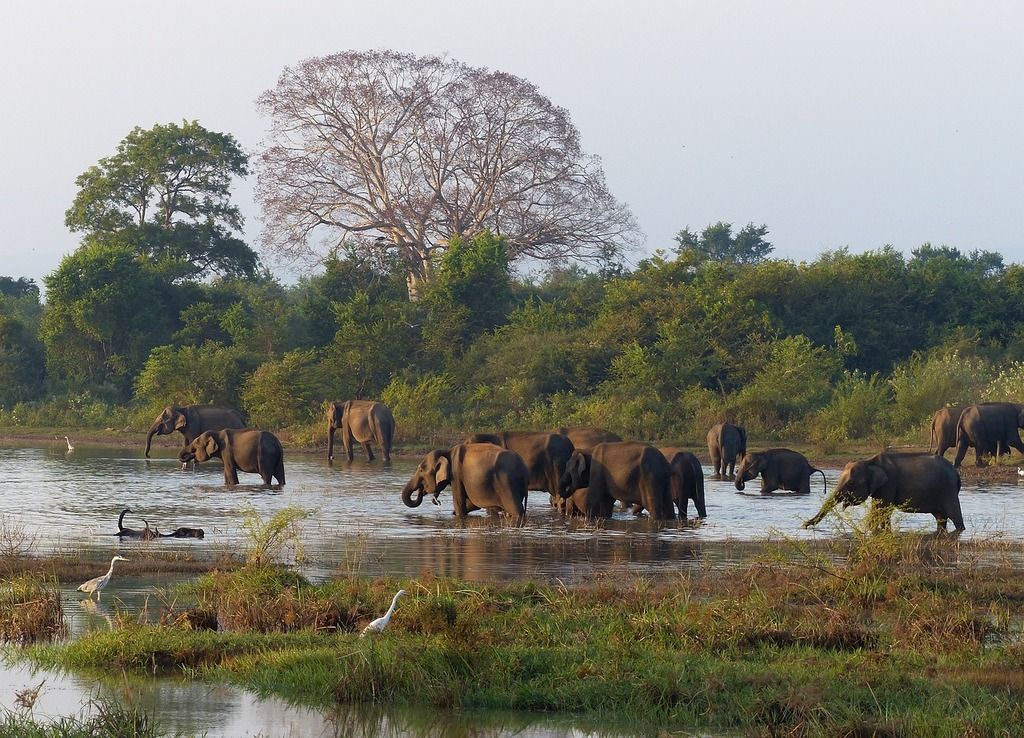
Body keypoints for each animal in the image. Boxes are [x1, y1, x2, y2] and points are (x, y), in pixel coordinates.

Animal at [803, 452, 964, 533]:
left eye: (851, 483)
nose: (804, 525)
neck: (870, 462)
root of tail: (956, 472)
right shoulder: (880, 488)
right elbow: (877, 508)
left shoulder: (889, 484)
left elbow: (883, 510)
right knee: (940, 518)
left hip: (947, 490)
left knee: (954, 514)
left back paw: (960, 529)